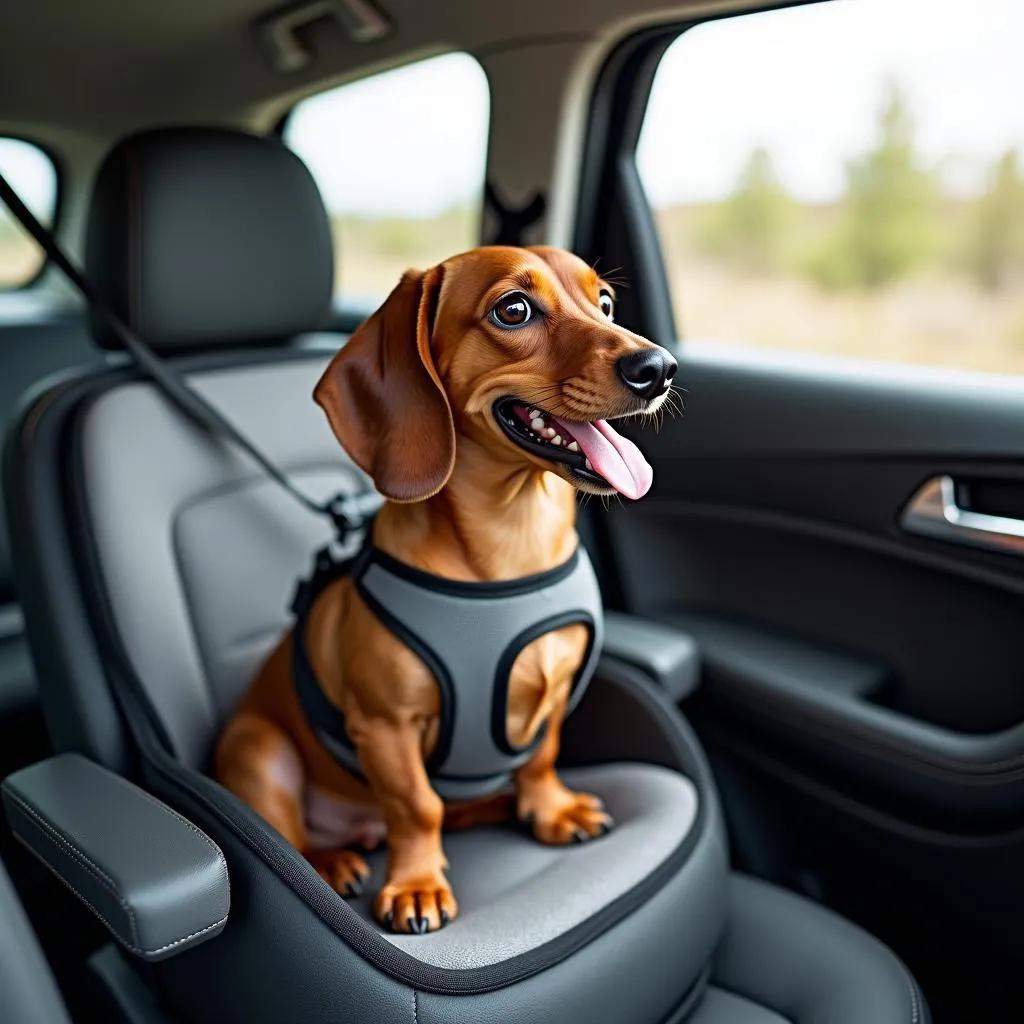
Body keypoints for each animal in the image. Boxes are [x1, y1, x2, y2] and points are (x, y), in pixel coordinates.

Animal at [214, 245, 679, 937]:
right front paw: (416, 884)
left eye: (605, 303)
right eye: (513, 309)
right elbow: (416, 805)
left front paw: (550, 809)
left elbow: (541, 757)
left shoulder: (555, 694)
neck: (510, 552)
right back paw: (334, 860)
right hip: (259, 748)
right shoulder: (385, 727)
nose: (660, 368)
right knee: (296, 834)